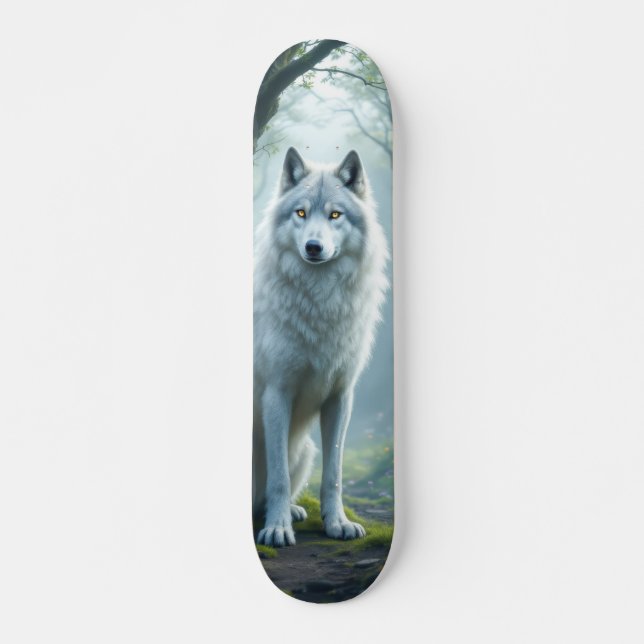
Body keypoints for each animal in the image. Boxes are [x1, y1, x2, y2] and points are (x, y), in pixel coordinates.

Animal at [253, 146, 389, 547]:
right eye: (300, 213)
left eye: (335, 215)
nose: (314, 247)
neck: (319, 301)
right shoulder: (276, 394)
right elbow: (278, 476)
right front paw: (277, 528)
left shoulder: (341, 398)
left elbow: (334, 475)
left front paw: (336, 523)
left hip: (306, 449)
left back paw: (296, 511)